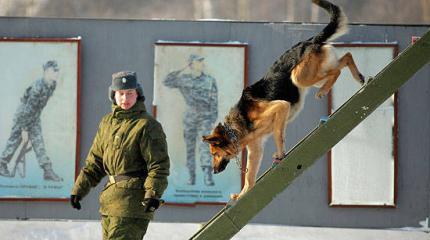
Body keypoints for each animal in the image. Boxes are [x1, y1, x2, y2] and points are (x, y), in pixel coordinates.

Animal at [203, 0, 364, 200]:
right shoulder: (256, 149)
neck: (237, 128)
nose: (214, 172)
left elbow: (279, 136)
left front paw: (280, 155)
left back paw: (325, 90)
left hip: (300, 77)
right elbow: (249, 176)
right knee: (346, 57)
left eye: (215, 154)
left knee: (336, 71)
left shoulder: (280, 106)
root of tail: (309, 41)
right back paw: (358, 77)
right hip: (314, 74)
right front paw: (242, 195)